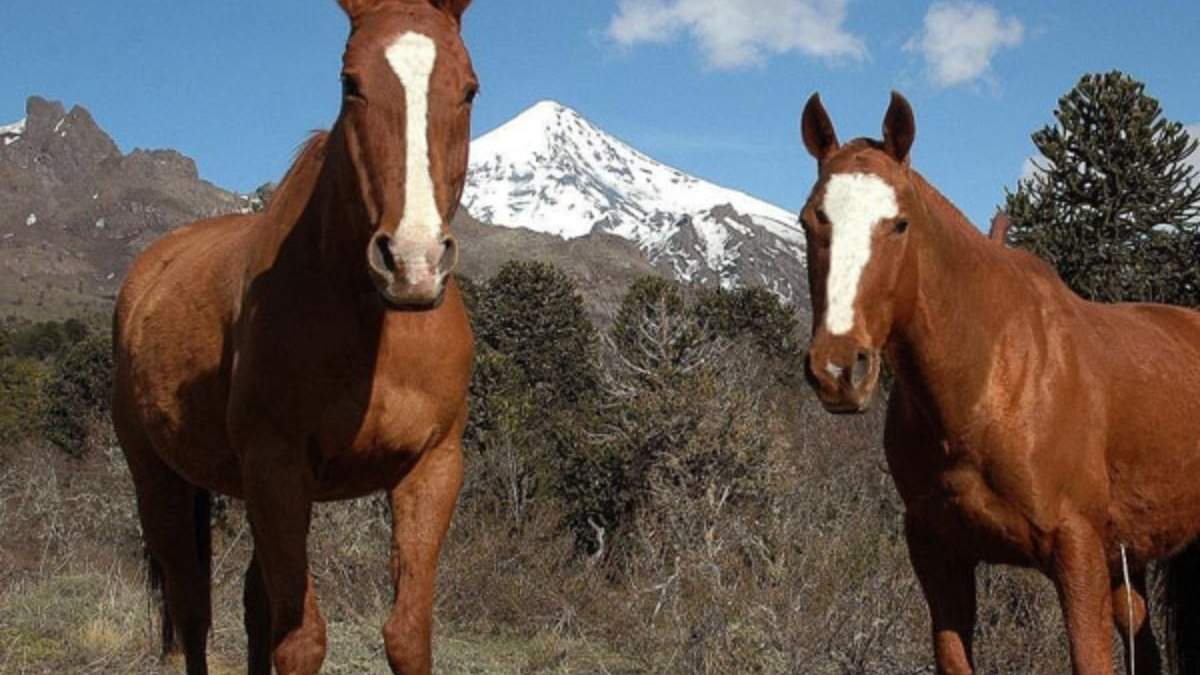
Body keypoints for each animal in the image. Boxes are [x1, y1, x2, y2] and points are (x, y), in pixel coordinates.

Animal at [111, 1, 476, 672]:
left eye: (468, 89)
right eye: (350, 83)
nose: (412, 262)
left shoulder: (433, 468)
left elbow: (407, 633)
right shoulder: (277, 467)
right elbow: (301, 639)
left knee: (253, 605)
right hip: (159, 479)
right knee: (192, 607)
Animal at [797, 92, 1200, 674]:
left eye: (899, 224)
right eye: (811, 221)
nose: (838, 369)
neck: (986, 384)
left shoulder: (1078, 553)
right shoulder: (939, 556)